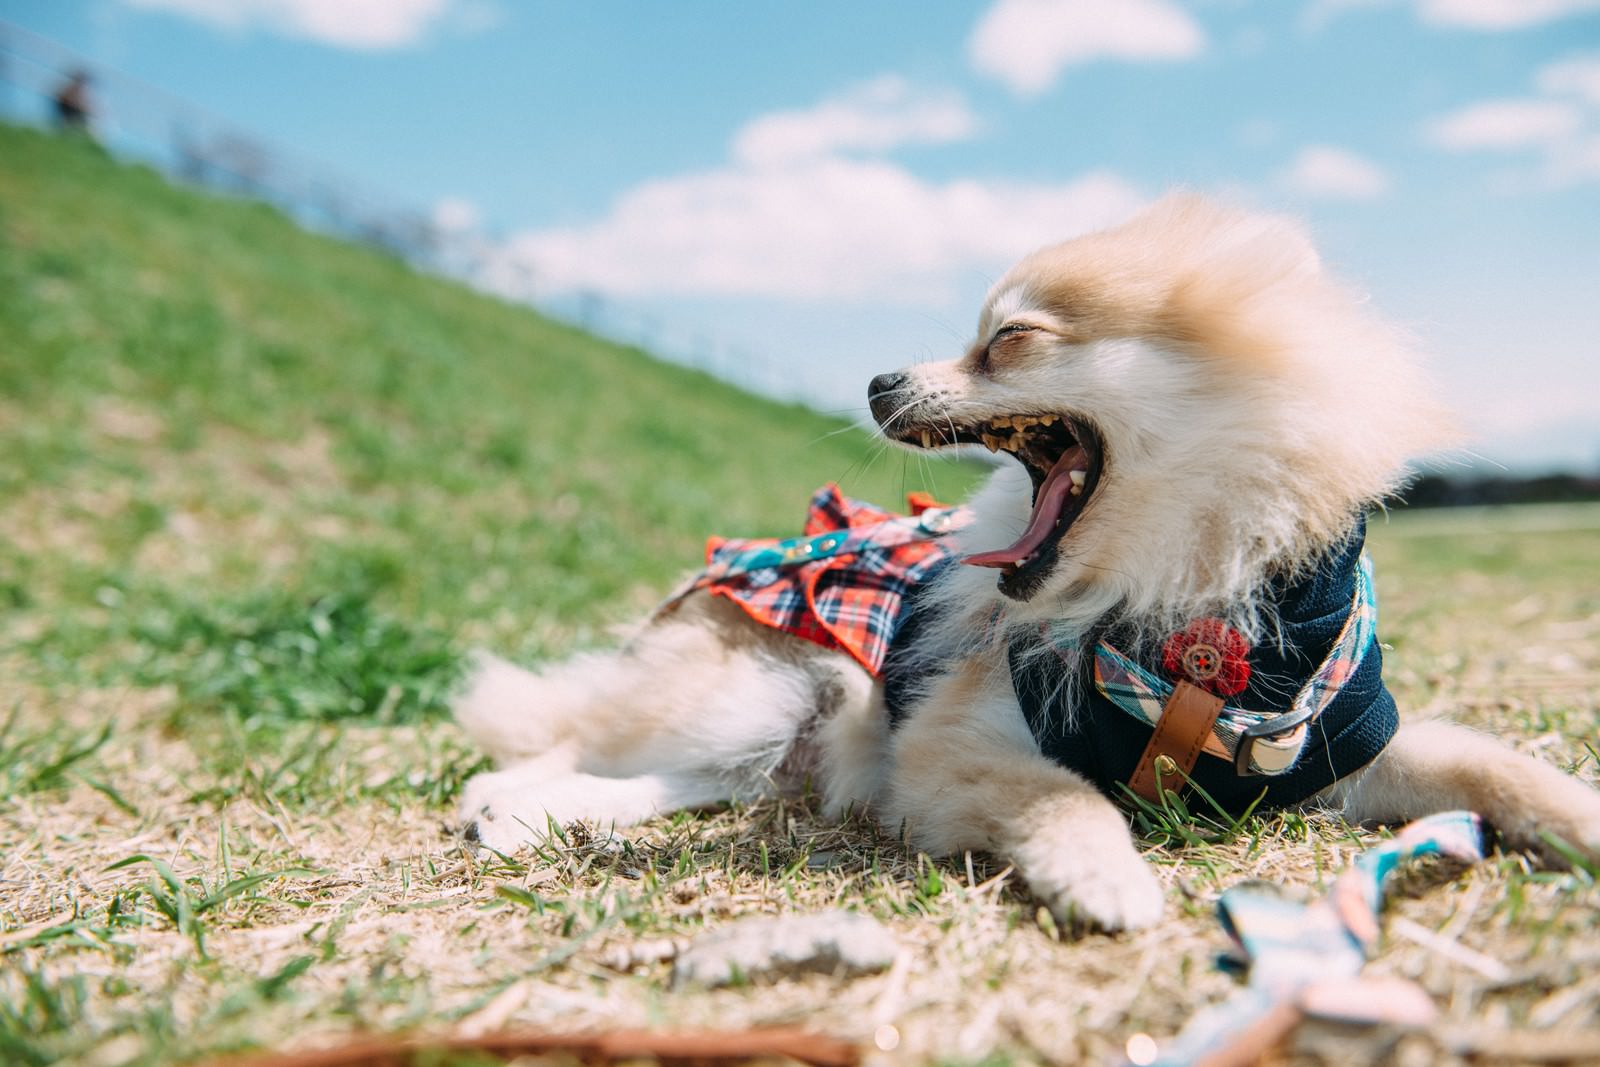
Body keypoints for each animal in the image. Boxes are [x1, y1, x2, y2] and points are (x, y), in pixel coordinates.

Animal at [451, 195, 1600, 927]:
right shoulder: (946, 751)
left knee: (655, 777)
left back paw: (533, 817)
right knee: (571, 738)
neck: (1184, 608)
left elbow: (1496, 764)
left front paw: (1580, 822)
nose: (876, 380)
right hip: (761, 692)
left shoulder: (1328, 744)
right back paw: (499, 802)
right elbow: (1064, 796)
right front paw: (1109, 880)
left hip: (763, 739)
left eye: (1007, 340)